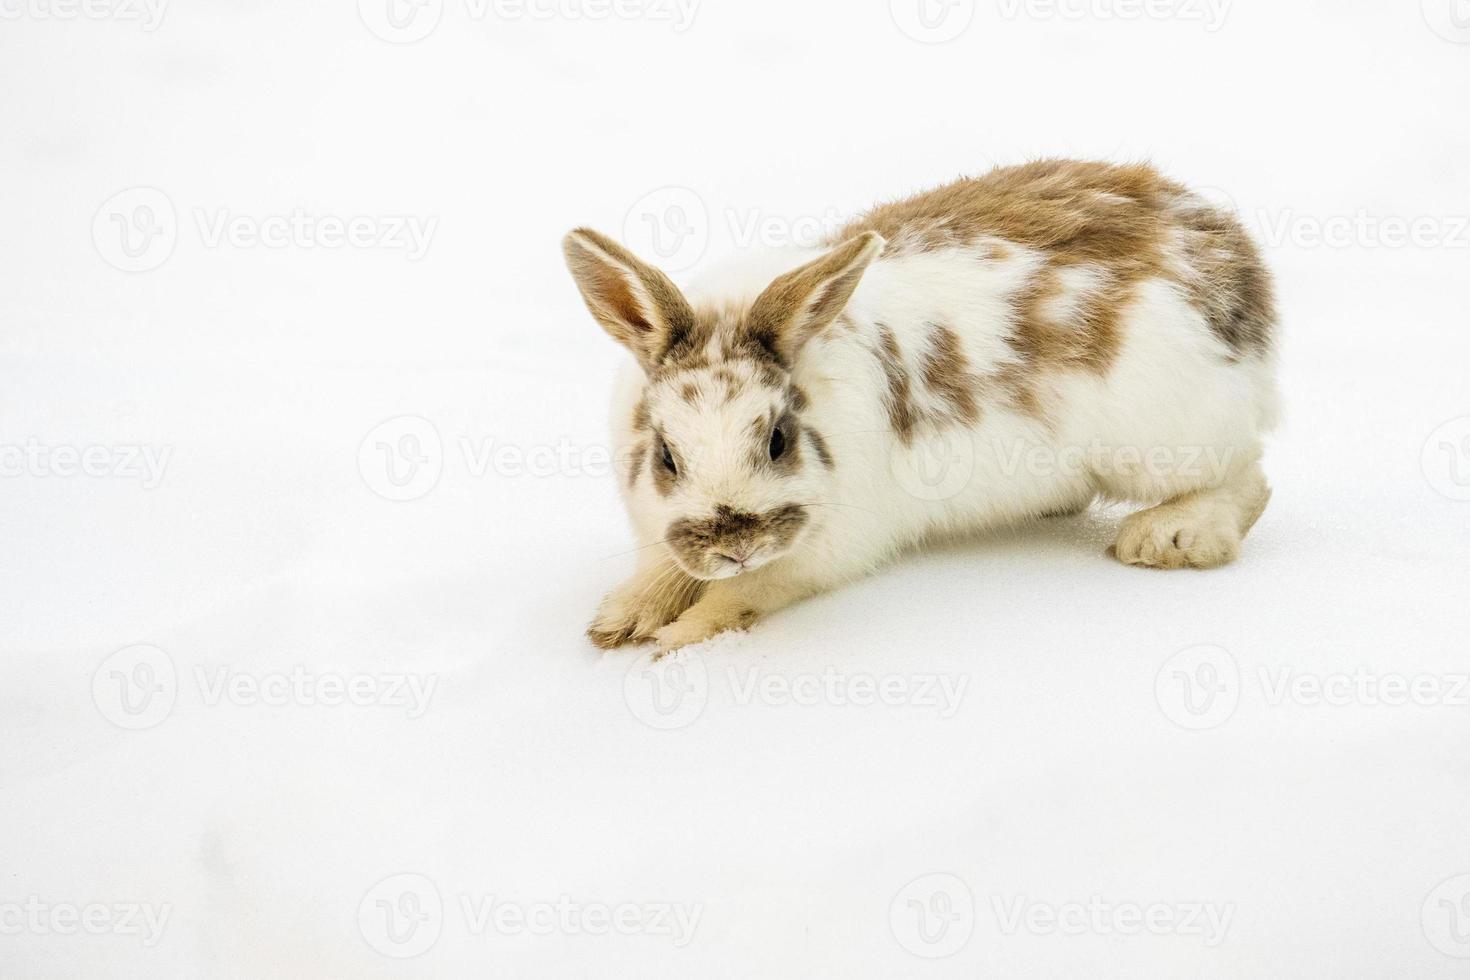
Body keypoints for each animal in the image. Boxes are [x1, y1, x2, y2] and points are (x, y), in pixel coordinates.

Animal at [567, 159, 1281, 652]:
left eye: (777, 440)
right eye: (666, 456)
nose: (736, 544)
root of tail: (1241, 277)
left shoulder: (831, 548)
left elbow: (750, 592)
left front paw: (680, 636)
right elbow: (665, 570)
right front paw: (620, 619)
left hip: (1166, 441)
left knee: (1249, 475)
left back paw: (1169, 537)